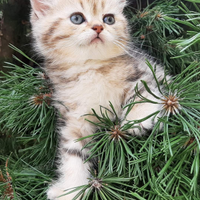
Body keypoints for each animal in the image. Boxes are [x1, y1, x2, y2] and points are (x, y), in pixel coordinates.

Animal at [30, 0, 166, 199]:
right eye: (76, 18)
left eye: (109, 19)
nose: (98, 27)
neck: (90, 68)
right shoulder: (74, 117)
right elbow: (73, 154)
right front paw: (71, 189)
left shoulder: (148, 69)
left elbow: (143, 87)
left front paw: (138, 117)